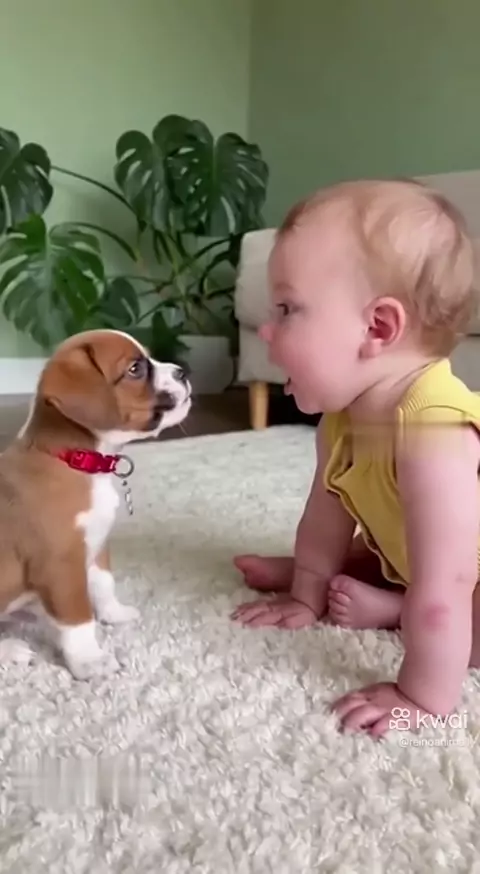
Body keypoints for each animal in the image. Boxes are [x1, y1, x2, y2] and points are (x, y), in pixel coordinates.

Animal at [0, 329, 191, 679]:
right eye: (134, 369)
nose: (183, 372)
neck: (76, 461)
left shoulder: (96, 545)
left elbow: (104, 584)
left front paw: (114, 613)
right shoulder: (61, 565)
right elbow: (78, 619)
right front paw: (89, 659)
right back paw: (10, 648)